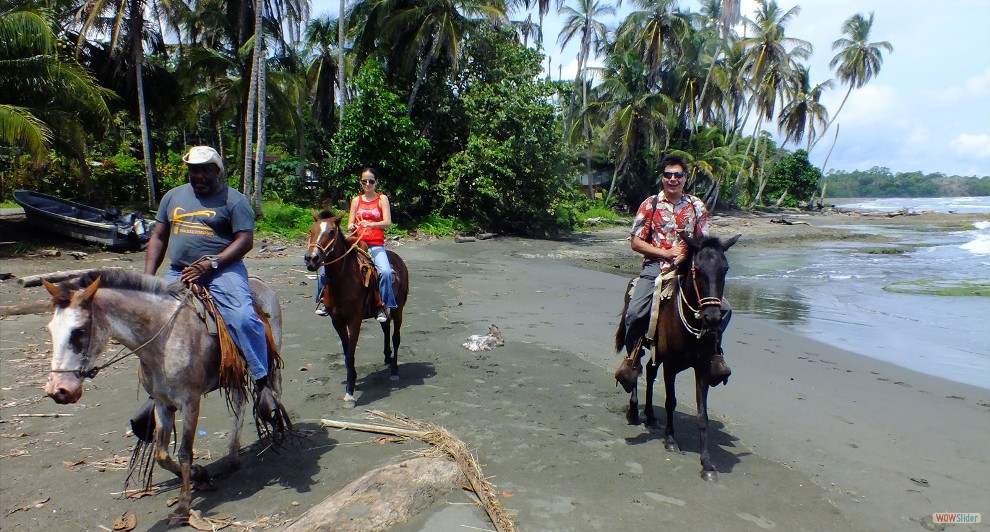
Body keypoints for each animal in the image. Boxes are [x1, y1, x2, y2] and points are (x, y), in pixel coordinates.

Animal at [304, 210, 408, 406]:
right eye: (311, 230)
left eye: (331, 232)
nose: (311, 259)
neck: (342, 280)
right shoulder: (336, 320)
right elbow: (346, 353)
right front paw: (352, 379)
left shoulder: (355, 320)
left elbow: (351, 353)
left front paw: (350, 393)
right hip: (380, 310)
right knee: (385, 326)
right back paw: (387, 356)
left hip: (398, 308)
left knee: (396, 336)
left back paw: (395, 370)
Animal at [616, 233, 740, 482]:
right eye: (697, 269)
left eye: (725, 269)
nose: (712, 317)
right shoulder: (671, 365)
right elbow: (670, 401)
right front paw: (671, 440)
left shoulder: (702, 367)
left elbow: (702, 416)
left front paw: (707, 464)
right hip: (636, 336)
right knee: (635, 368)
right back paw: (634, 411)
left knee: (649, 371)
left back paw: (651, 416)